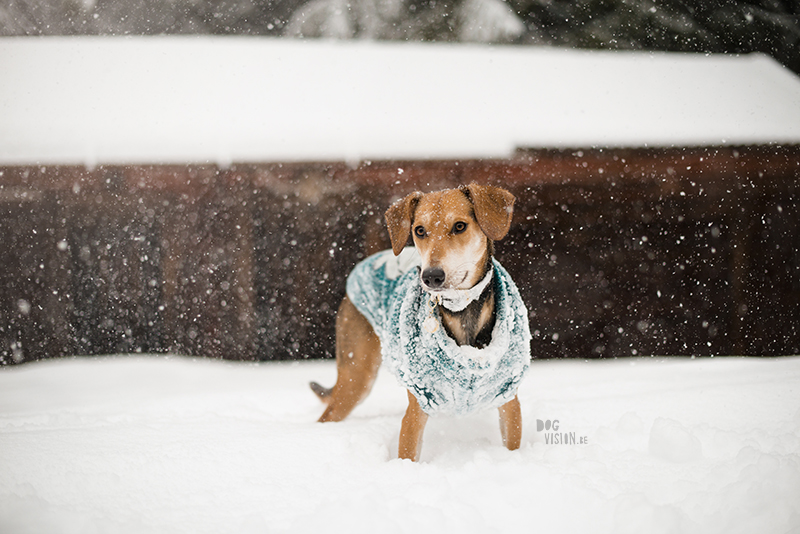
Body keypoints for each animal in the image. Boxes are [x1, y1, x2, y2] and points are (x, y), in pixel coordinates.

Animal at [310, 183, 532, 460]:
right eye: (419, 230)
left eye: (460, 226)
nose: (431, 276)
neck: (462, 311)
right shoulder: (418, 405)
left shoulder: (508, 399)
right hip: (356, 375)